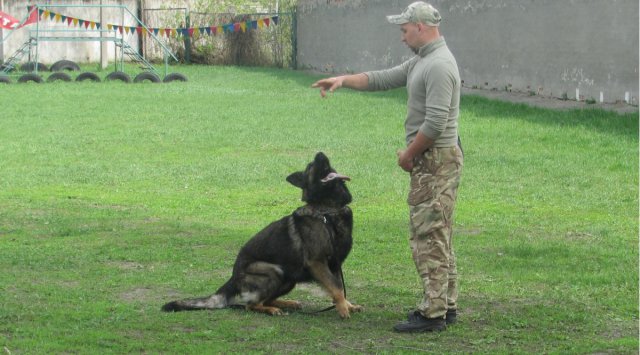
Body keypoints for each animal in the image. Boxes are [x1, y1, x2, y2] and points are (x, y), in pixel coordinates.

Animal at [162, 153, 362, 320]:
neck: (328, 210)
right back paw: (272, 310)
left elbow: (339, 286)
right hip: (275, 271)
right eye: (311, 166)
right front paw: (343, 308)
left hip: (289, 279)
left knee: (265, 300)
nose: (320, 153)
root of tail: (233, 278)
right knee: (251, 305)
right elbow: (336, 287)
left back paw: (286, 303)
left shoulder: (335, 264)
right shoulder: (318, 262)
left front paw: (347, 305)